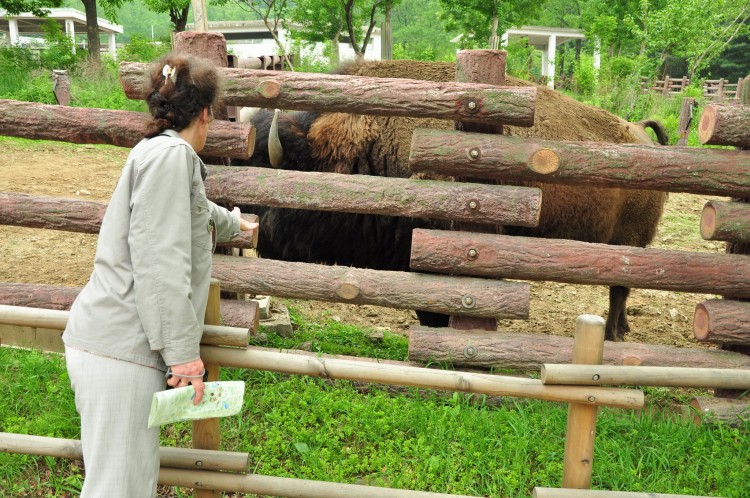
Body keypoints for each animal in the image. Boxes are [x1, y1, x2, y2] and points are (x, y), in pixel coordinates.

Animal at [236, 59, 668, 342]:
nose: (254, 235)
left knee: (619, 289)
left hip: (630, 245)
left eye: (269, 171)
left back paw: (612, 335)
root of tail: (640, 134)